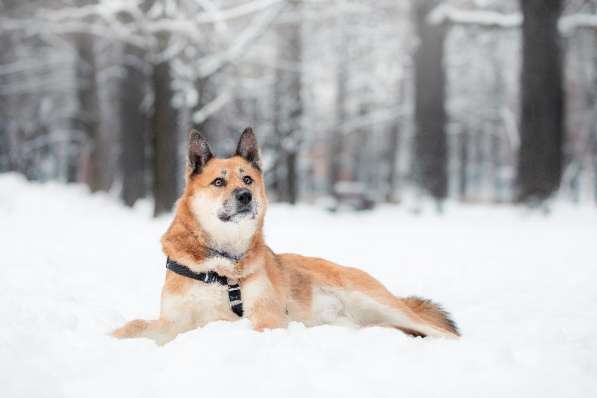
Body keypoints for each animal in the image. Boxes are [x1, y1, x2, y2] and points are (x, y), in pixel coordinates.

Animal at [112, 128, 458, 346]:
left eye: (247, 179)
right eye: (219, 182)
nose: (245, 196)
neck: (222, 264)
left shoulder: (267, 319)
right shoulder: (174, 321)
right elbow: (137, 326)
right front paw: (112, 338)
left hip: (376, 300)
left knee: (444, 332)